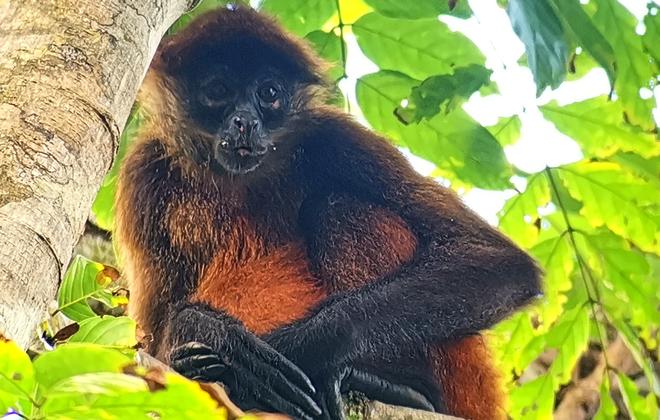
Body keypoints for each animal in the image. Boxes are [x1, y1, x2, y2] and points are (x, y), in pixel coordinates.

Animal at [115, 5, 542, 420]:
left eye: (269, 93)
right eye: (218, 91)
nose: (245, 122)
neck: (240, 179)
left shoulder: (333, 136)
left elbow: (500, 262)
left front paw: (275, 354)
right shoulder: (144, 173)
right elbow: (155, 341)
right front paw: (214, 336)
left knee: (339, 207)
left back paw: (407, 389)